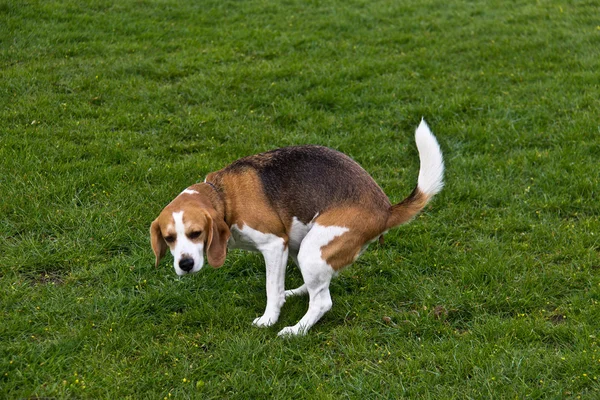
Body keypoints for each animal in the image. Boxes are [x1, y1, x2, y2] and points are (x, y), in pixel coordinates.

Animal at [149, 120, 440, 336]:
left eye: (196, 233)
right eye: (169, 238)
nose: (185, 265)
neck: (224, 196)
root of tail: (386, 209)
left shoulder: (274, 245)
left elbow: (271, 289)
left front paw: (268, 319)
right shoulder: (283, 246)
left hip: (312, 249)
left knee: (322, 301)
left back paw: (295, 330)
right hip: (301, 246)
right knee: (317, 285)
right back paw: (298, 292)